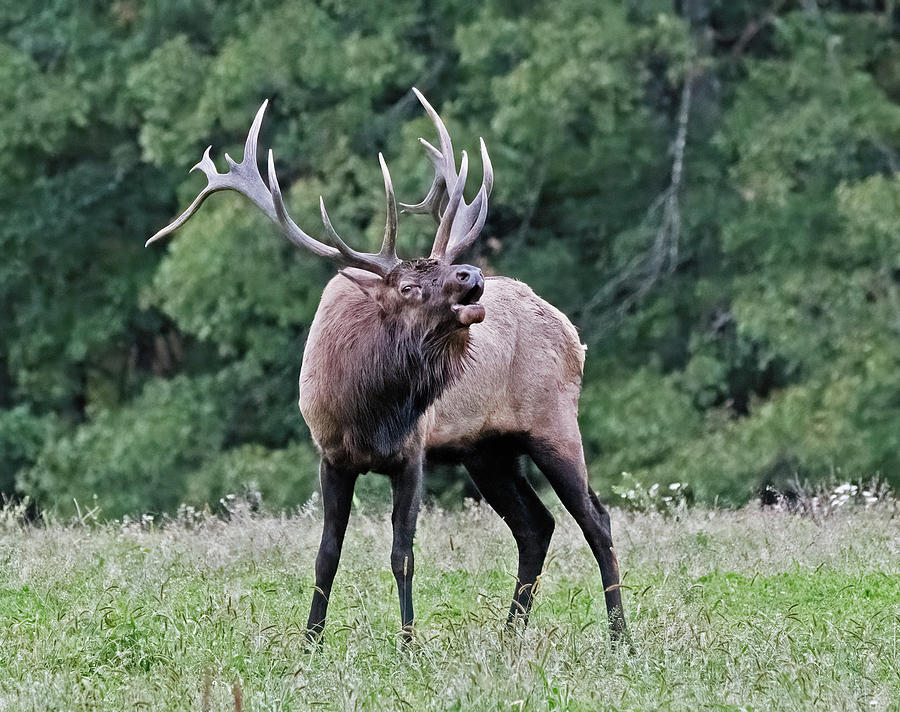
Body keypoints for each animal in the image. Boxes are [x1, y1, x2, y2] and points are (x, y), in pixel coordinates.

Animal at [146, 90, 624, 644]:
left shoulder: (412, 452)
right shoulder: (331, 454)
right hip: (487, 449)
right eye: (409, 286)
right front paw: (310, 642)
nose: (471, 274)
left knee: (595, 519)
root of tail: (573, 335)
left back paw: (620, 637)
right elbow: (326, 554)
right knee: (536, 525)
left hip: (552, 421)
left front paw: (409, 643)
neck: (369, 410)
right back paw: (510, 636)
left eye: (444, 268)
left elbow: (403, 555)